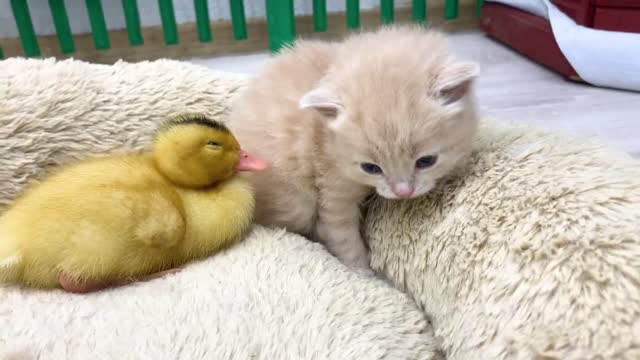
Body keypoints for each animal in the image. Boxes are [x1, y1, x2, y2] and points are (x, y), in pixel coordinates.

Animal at [225, 26, 480, 270]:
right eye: (371, 168)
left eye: (426, 161)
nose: (403, 192)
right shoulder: (332, 185)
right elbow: (343, 237)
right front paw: (364, 273)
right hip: (295, 200)